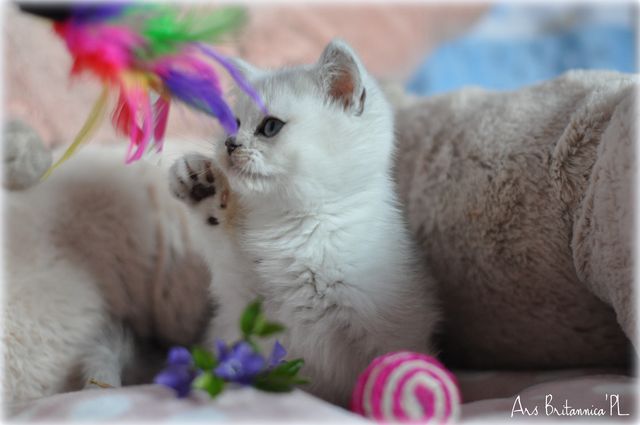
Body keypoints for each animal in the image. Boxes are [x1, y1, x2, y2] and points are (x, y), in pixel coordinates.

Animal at [169, 39, 440, 405]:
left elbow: (390, 368)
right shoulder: (240, 307)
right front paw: (201, 188)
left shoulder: (394, 325)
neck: (299, 227)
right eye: (233, 123)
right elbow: (224, 254)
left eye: (270, 127)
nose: (229, 144)